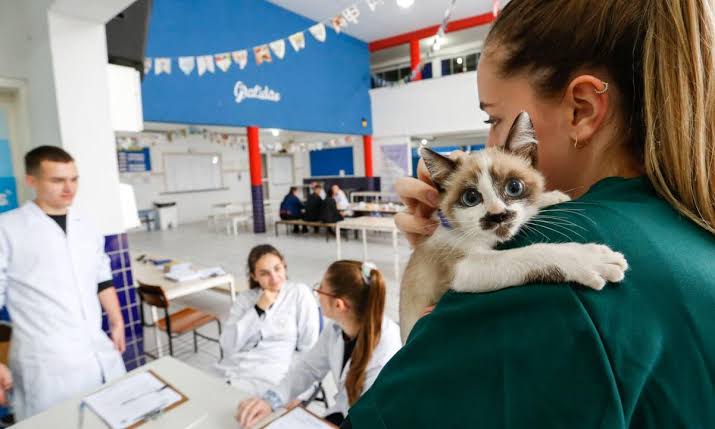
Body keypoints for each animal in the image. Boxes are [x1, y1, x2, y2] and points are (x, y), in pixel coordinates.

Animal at [400, 111, 628, 342]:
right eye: (471, 198)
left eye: (514, 187)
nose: (497, 216)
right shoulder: (463, 267)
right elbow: (530, 254)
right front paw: (590, 259)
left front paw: (551, 197)